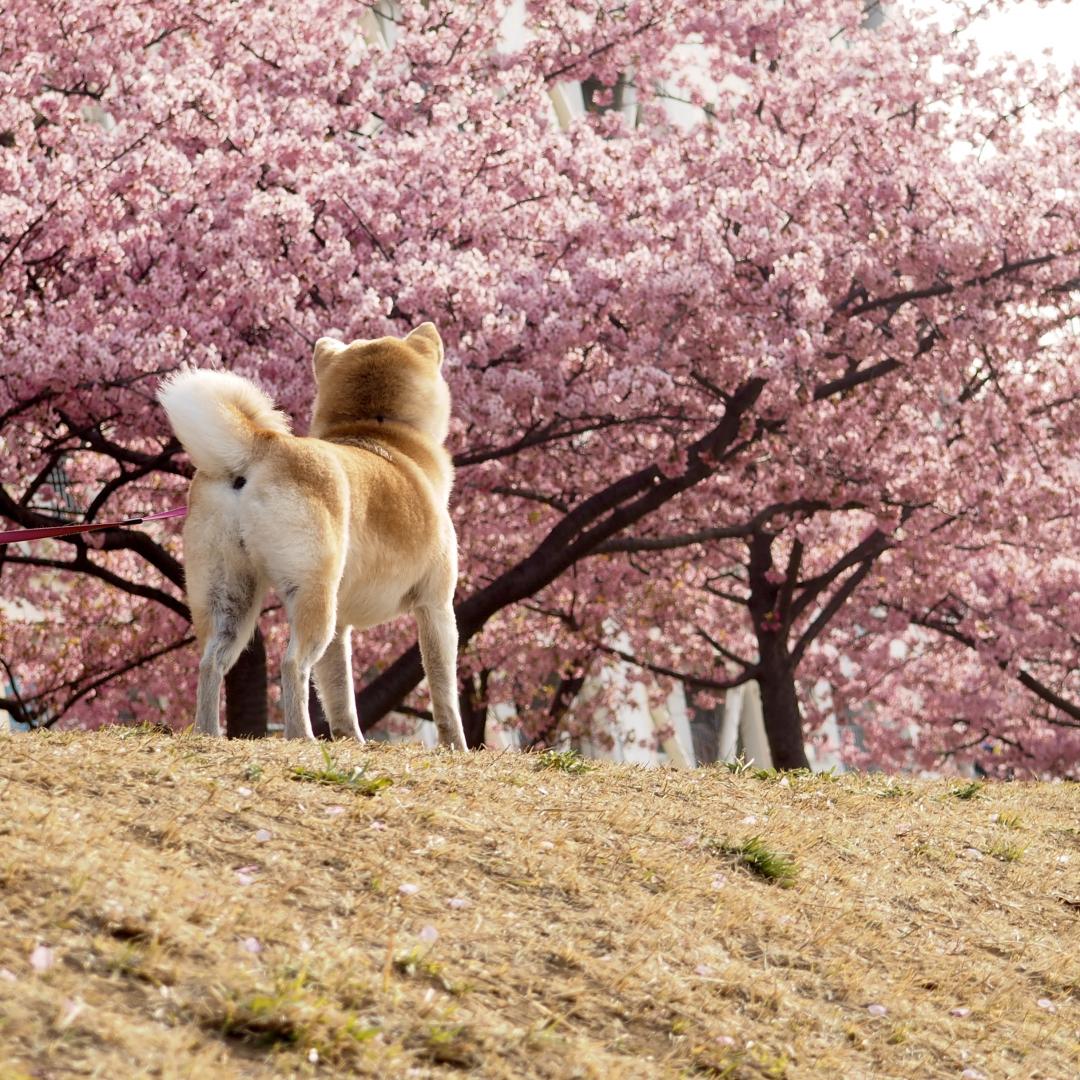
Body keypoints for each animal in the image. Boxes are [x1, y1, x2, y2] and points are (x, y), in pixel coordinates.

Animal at [155, 324, 464, 747]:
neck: (378, 428)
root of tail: (263, 447)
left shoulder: (342, 627)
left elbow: (339, 695)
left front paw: (351, 742)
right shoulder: (436, 606)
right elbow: (444, 694)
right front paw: (459, 748)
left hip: (230, 598)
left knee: (211, 664)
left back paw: (208, 734)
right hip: (313, 595)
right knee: (293, 664)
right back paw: (300, 736)